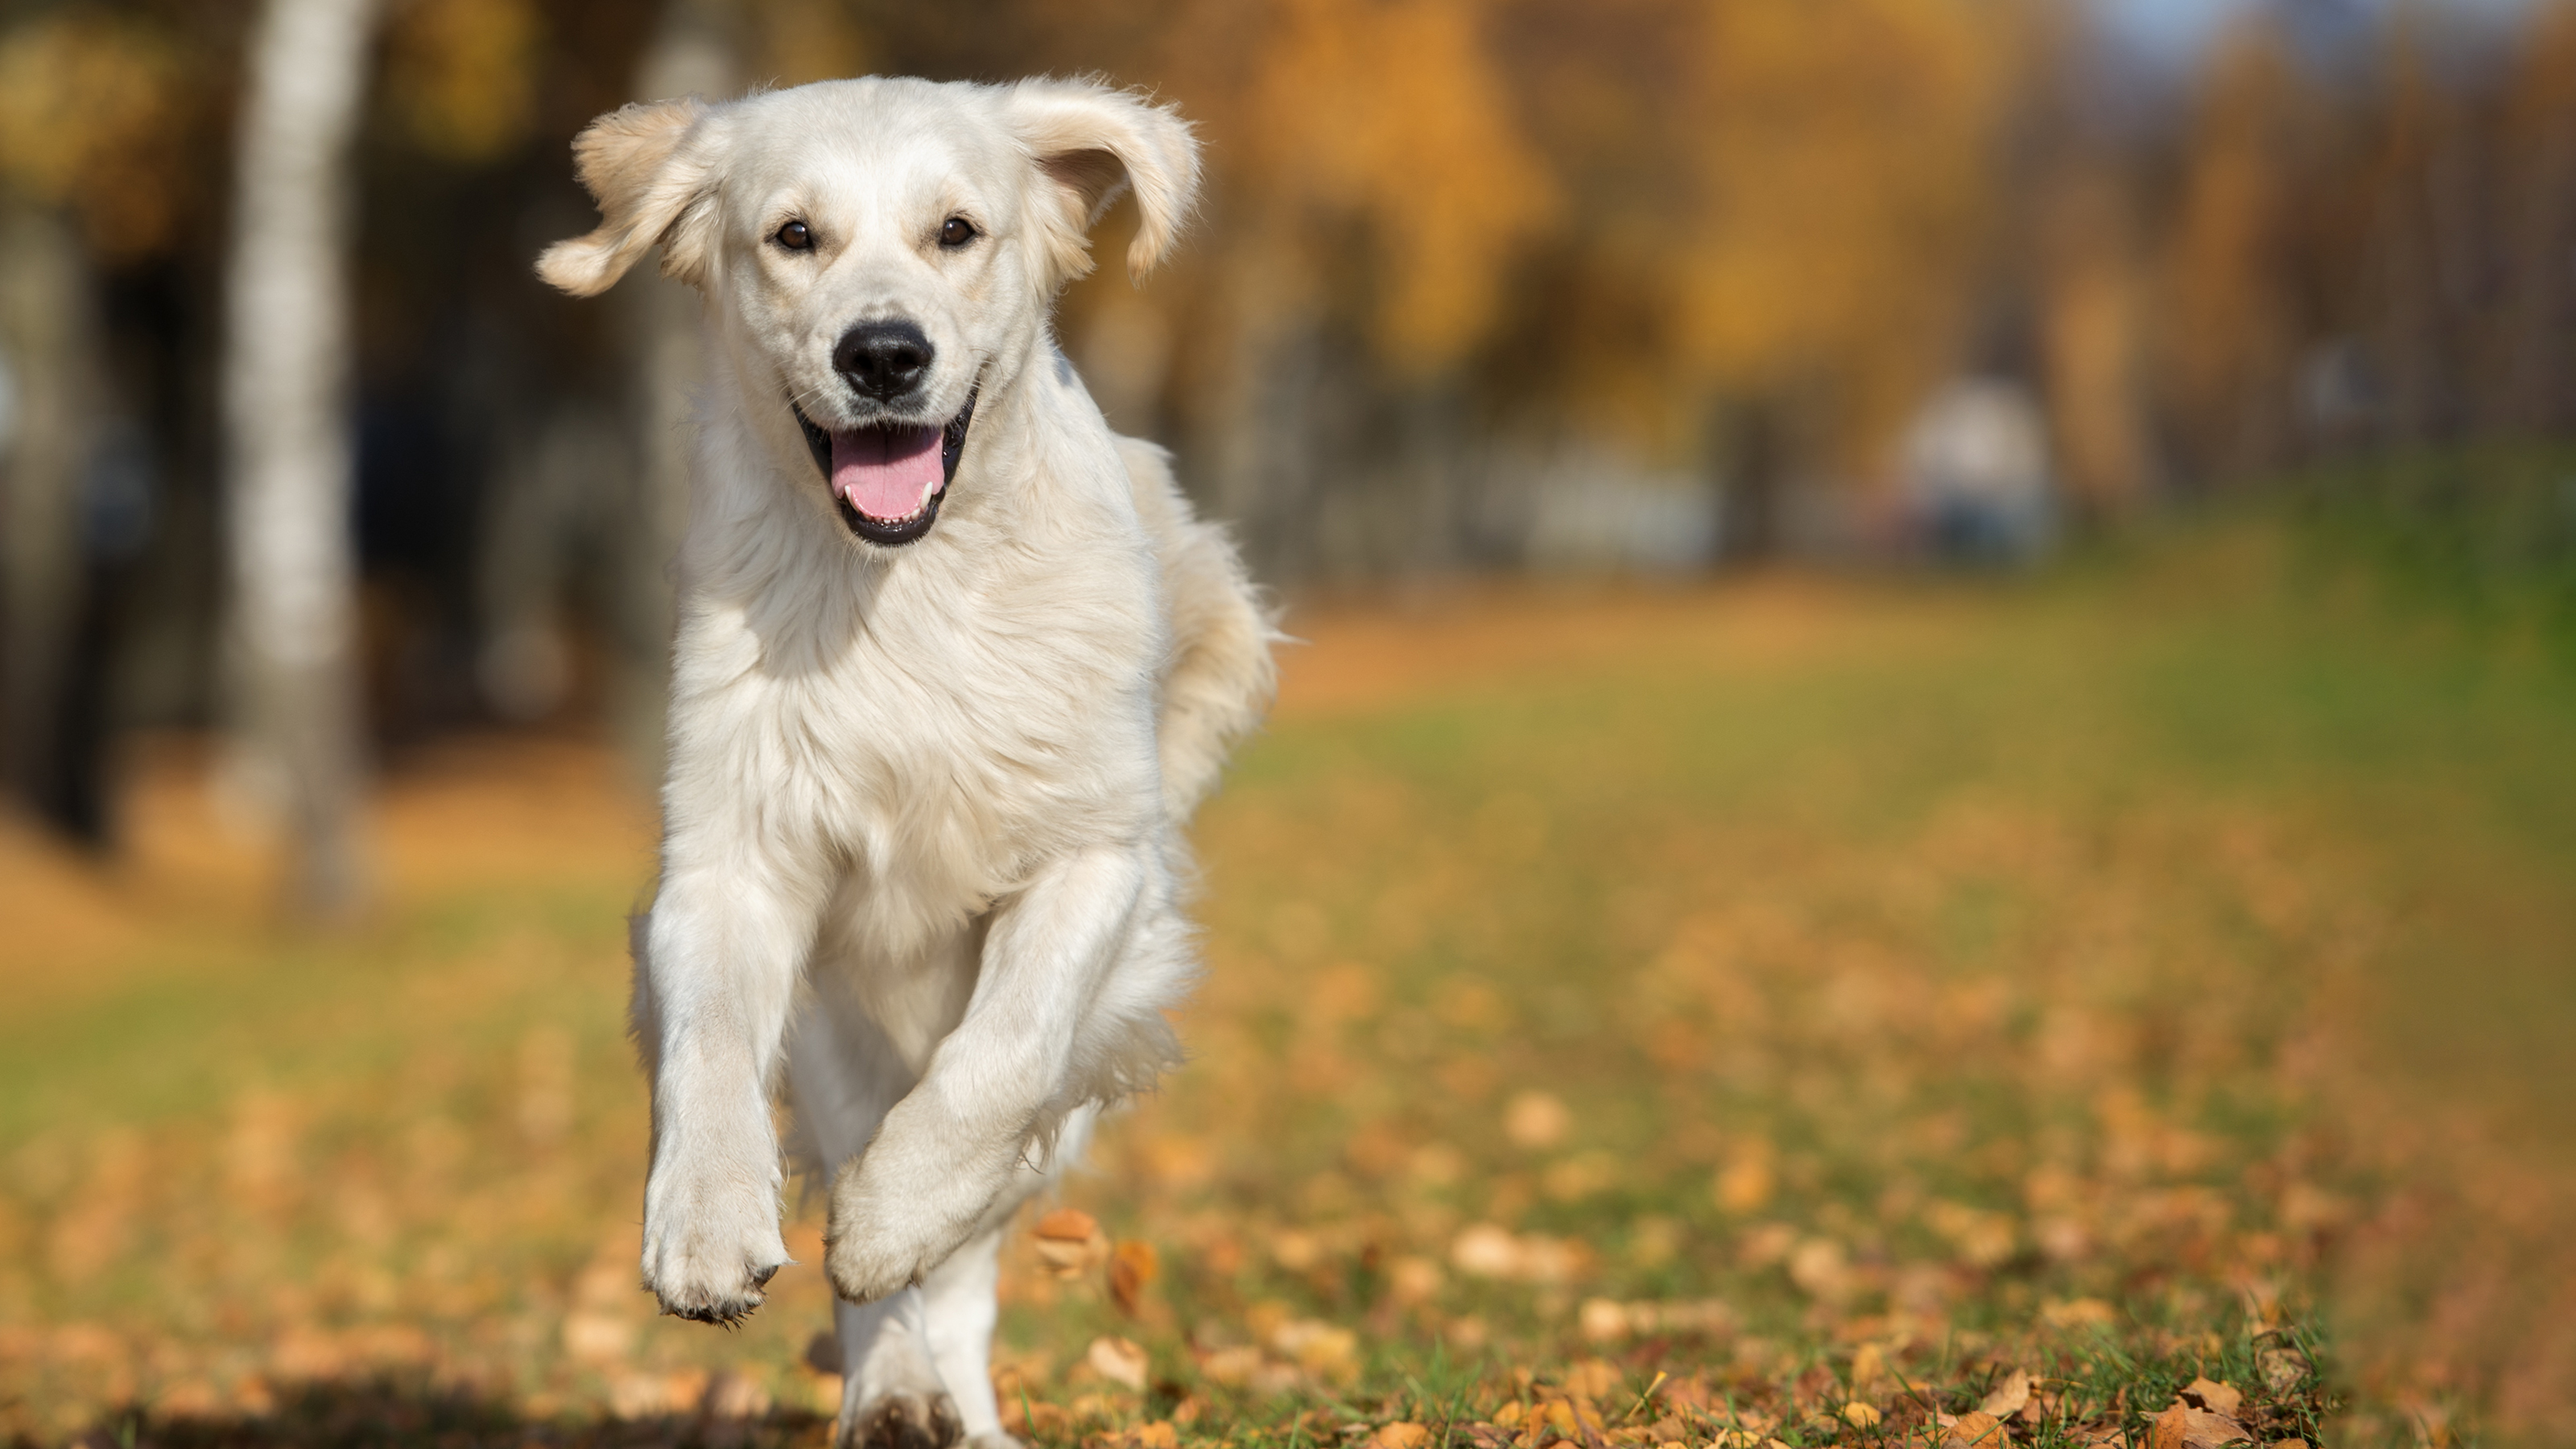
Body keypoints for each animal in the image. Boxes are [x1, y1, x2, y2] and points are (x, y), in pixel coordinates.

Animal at [538, 76, 1272, 1443]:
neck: (905, 589)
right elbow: (711, 1045)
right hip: (839, 1014)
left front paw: (894, 1217)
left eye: (956, 232)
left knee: (986, 1212)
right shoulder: (732, 854)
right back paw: (891, 1389)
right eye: (793, 236)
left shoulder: (1100, 858)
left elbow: (1003, 1059)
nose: (884, 354)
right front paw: (705, 1229)